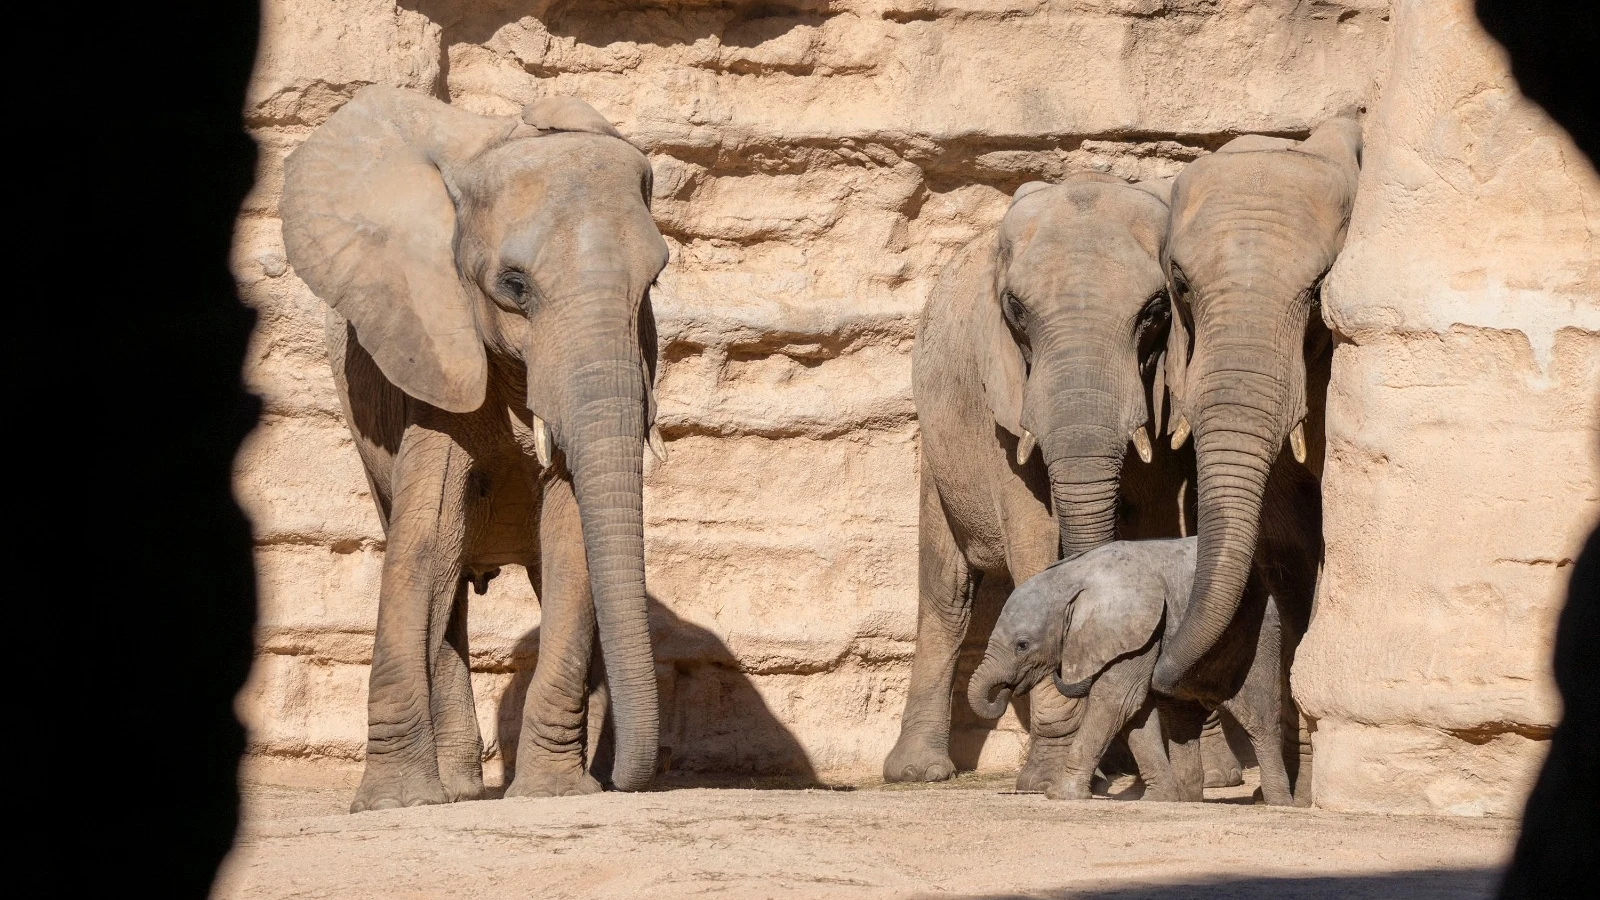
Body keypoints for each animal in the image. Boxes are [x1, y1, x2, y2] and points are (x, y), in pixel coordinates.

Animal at [279, 86, 669, 811]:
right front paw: (396, 804)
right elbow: (426, 541)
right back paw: (458, 789)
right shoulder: (432, 346)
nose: (627, 783)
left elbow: (573, 536)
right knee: (442, 570)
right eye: (514, 285)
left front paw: (553, 794)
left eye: (654, 282)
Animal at [884, 172, 1222, 790]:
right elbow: (1035, 544)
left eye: (1156, 310)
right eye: (1015, 310)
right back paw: (919, 773)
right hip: (939, 447)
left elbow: (1156, 525)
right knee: (946, 592)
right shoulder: (1005, 408)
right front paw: (1046, 781)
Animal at [968, 538, 1298, 804]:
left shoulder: (1136, 631)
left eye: (1022, 645)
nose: (1004, 692)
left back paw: (1276, 803)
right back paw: (1188, 799)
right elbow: (1135, 712)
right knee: (1181, 721)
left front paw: (1059, 795)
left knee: (1259, 719)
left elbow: (1117, 701)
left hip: (1257, 635)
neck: (1071, 577)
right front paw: (1159, 799)